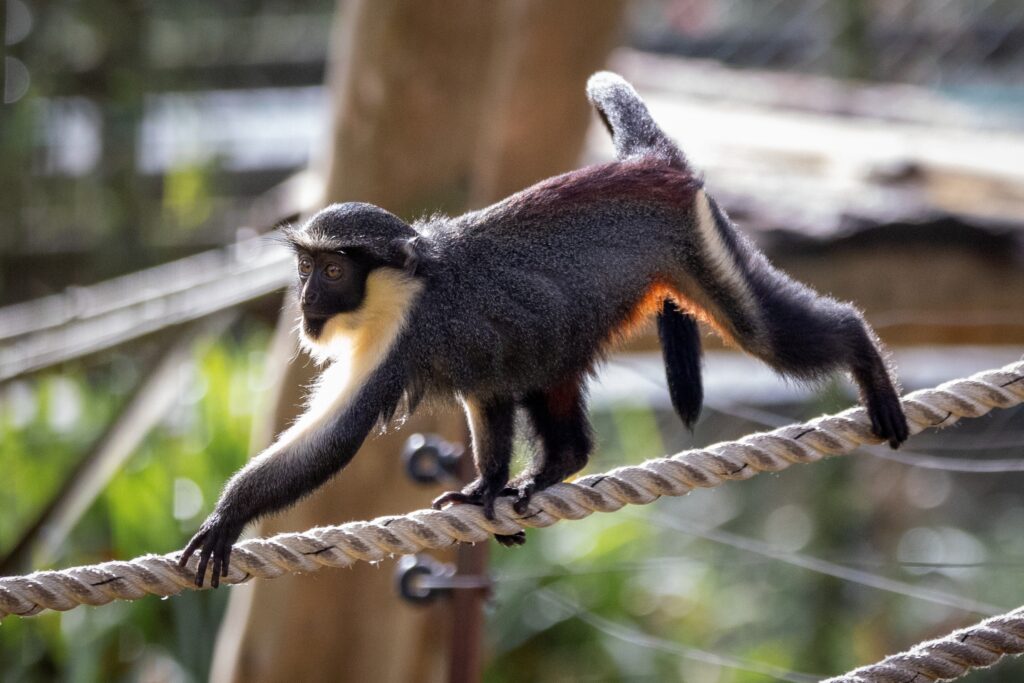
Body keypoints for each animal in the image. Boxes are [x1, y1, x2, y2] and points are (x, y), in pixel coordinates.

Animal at [180, 72, 908, 587]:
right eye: (306, 267)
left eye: (332, 269)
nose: (307, 297)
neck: (407, 282)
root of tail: (645, 161)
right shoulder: (464, 351)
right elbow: (488, 397)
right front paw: (487, 486)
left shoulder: (401, 339)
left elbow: (332, 439)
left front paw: (228, 516)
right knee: (543, 381)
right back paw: (557, 463)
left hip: (696, 237)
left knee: (766, 329)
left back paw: (865, 359)